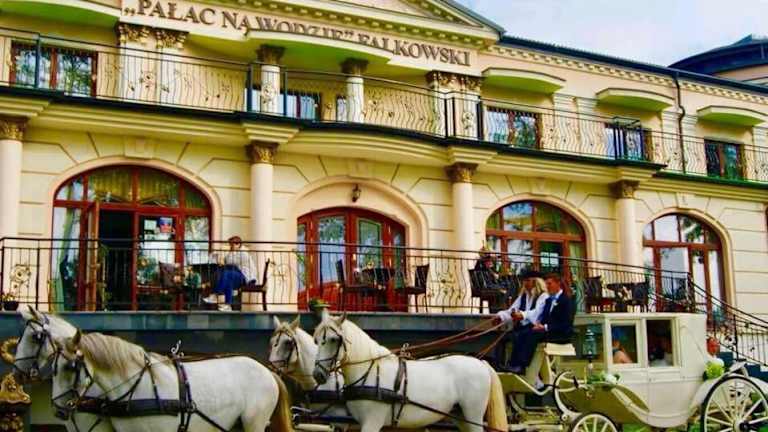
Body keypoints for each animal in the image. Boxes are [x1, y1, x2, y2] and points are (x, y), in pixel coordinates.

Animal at [312, 312, 507, 432]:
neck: (370, 372)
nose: (318, 375)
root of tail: (480, 363)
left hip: (473, 414)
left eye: (334, 339)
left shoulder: (372, 422)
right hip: (460, 415)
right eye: (316, 340)